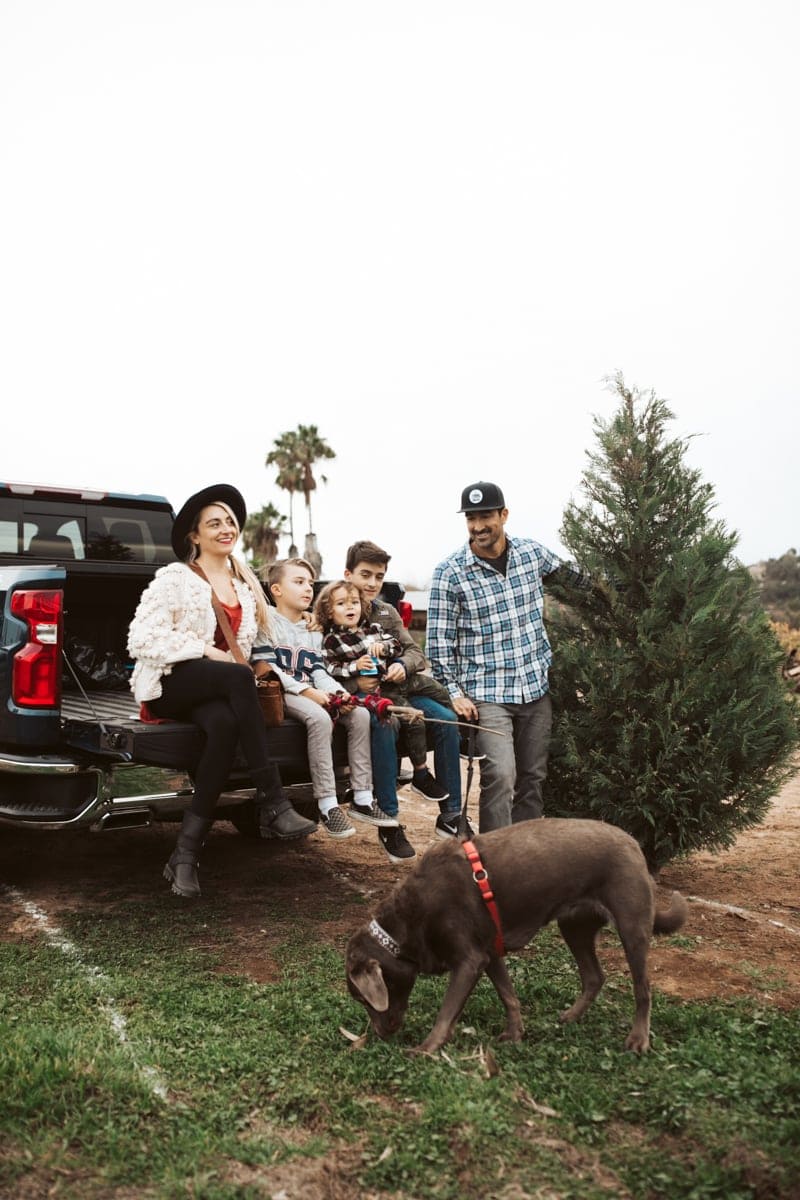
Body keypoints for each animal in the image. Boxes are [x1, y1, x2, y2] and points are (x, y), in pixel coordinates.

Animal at [345, 820, 690, 1056]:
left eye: (363, 999)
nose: (379, 1035)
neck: (406, 922)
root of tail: (634, 844)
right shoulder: (489, 953)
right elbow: (508, 995)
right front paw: (515, 1033)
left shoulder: (469, 960)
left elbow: (446, 1011)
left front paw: (427, 1047)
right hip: (574, 926)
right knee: (594, 976)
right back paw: (571, 1016)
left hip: (632, 926)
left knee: (642, 988)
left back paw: (638, 1039)